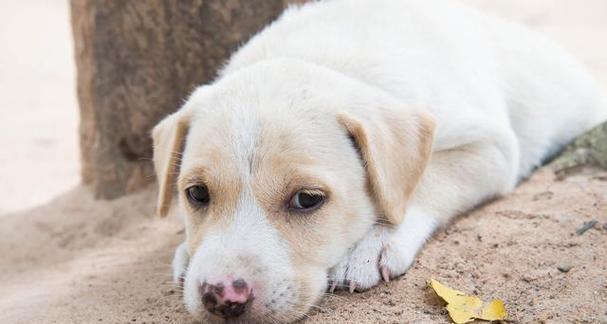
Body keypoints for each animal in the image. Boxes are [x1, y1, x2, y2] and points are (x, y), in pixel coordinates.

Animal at [152, 0, 607, 322]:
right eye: (196, 194)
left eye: (307, 200)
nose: (220, 297)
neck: (321, 57)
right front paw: (187, 250)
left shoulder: (491, 147)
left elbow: (425, 180)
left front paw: (374, 244)